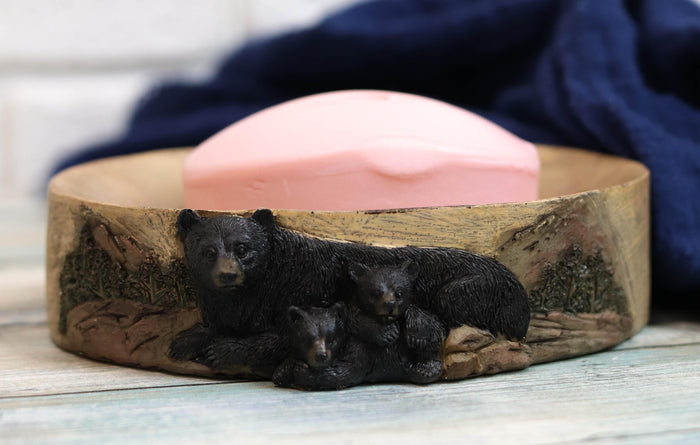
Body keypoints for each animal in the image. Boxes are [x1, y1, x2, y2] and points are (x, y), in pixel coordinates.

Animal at [169, 208, 530, 379]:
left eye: (243, 248)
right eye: (207, 251)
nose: (227, 275)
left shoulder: (302, 291)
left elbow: (283, 336)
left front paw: (222, 351)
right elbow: (217, 322)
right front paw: (183, 341)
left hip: (475, 287)